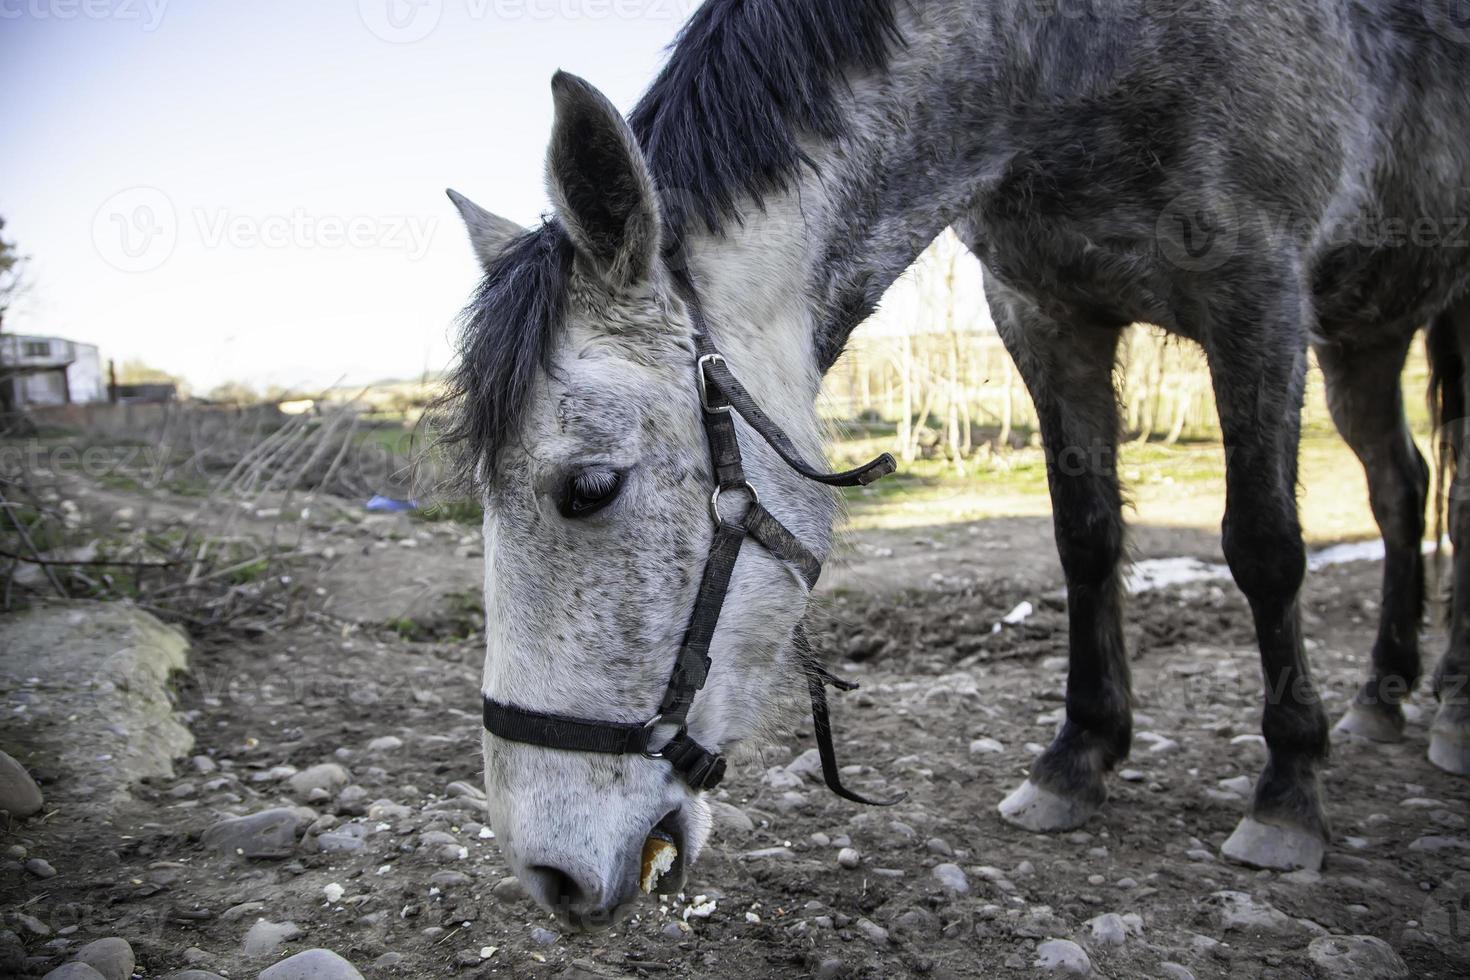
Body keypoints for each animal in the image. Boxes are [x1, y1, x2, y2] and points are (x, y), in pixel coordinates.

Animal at [438, 0, 1470, 928]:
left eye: (590, 488)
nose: (547, 876)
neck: (1077, 51)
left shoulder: (1257, 291)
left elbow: (1263, 547)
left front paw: (1288, 791)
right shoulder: (1043, 313)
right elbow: (1085, 539)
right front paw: (1077, 758)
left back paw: (1450, 707)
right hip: (1363, 340)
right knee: (1402, 488)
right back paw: (1385, 692)